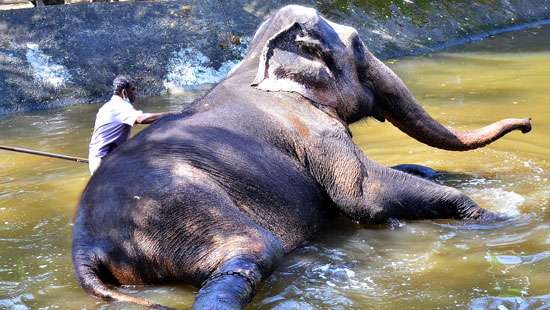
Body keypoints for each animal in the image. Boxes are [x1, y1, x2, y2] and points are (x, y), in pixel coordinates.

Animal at [72, 4, 536, 308]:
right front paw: (495, 216)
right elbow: (364, 194)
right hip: (181, 212)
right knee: (254, 252)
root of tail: (86, 246)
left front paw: (429, 172)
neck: (254, 61)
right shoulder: (313, 130)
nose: (530, 122)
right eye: (360, 45)